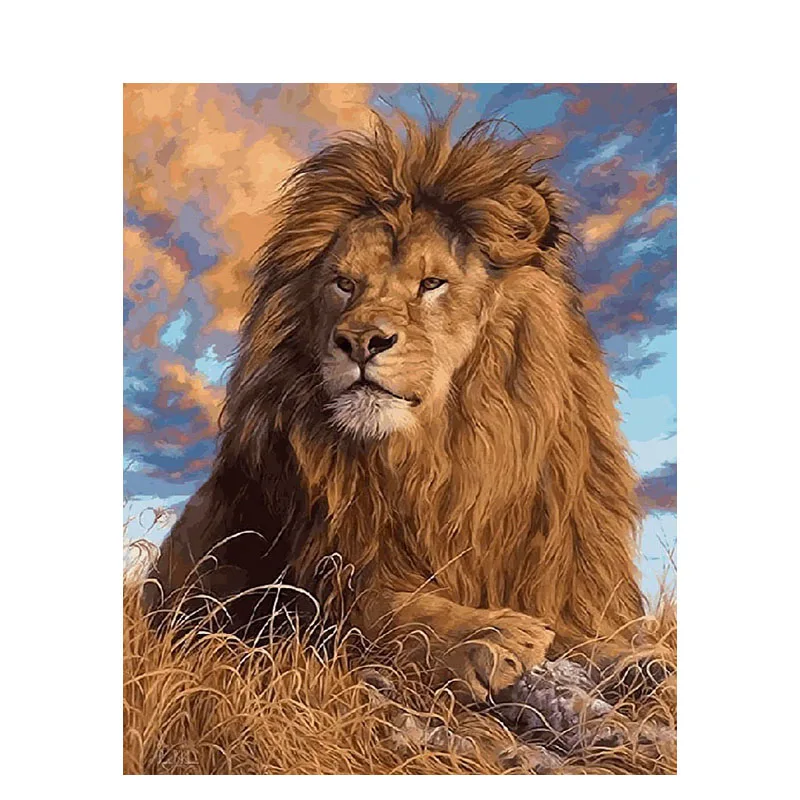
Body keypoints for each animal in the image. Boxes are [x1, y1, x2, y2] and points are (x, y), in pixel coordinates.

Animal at [144, 109, 646, 703]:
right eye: (343, 283)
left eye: (432, 283)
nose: (361, 340)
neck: (440, 458)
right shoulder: (316, 585)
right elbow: (395, 610)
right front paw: (489, 635)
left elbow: (591, 630)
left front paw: (637, 658)